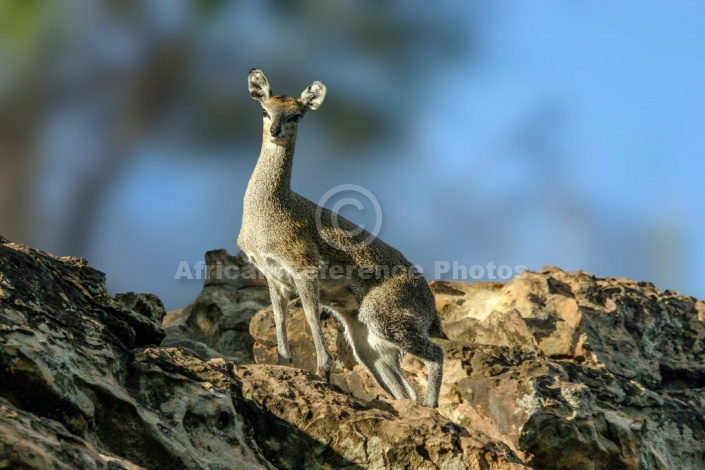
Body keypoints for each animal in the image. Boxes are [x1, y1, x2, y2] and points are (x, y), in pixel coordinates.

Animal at [236, 67, 446, 408]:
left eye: (297, 115)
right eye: (265, 111)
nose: (276, 131)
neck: (269, 210)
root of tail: (431, 308)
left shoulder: (304, 270)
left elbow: (310, 316)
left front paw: (322, 370)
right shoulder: (274, 277)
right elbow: (280, 319)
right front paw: (282, 364)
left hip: (385, 319)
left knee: (436, 354)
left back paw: (430, 406)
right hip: (367, 342)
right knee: (403, 388)